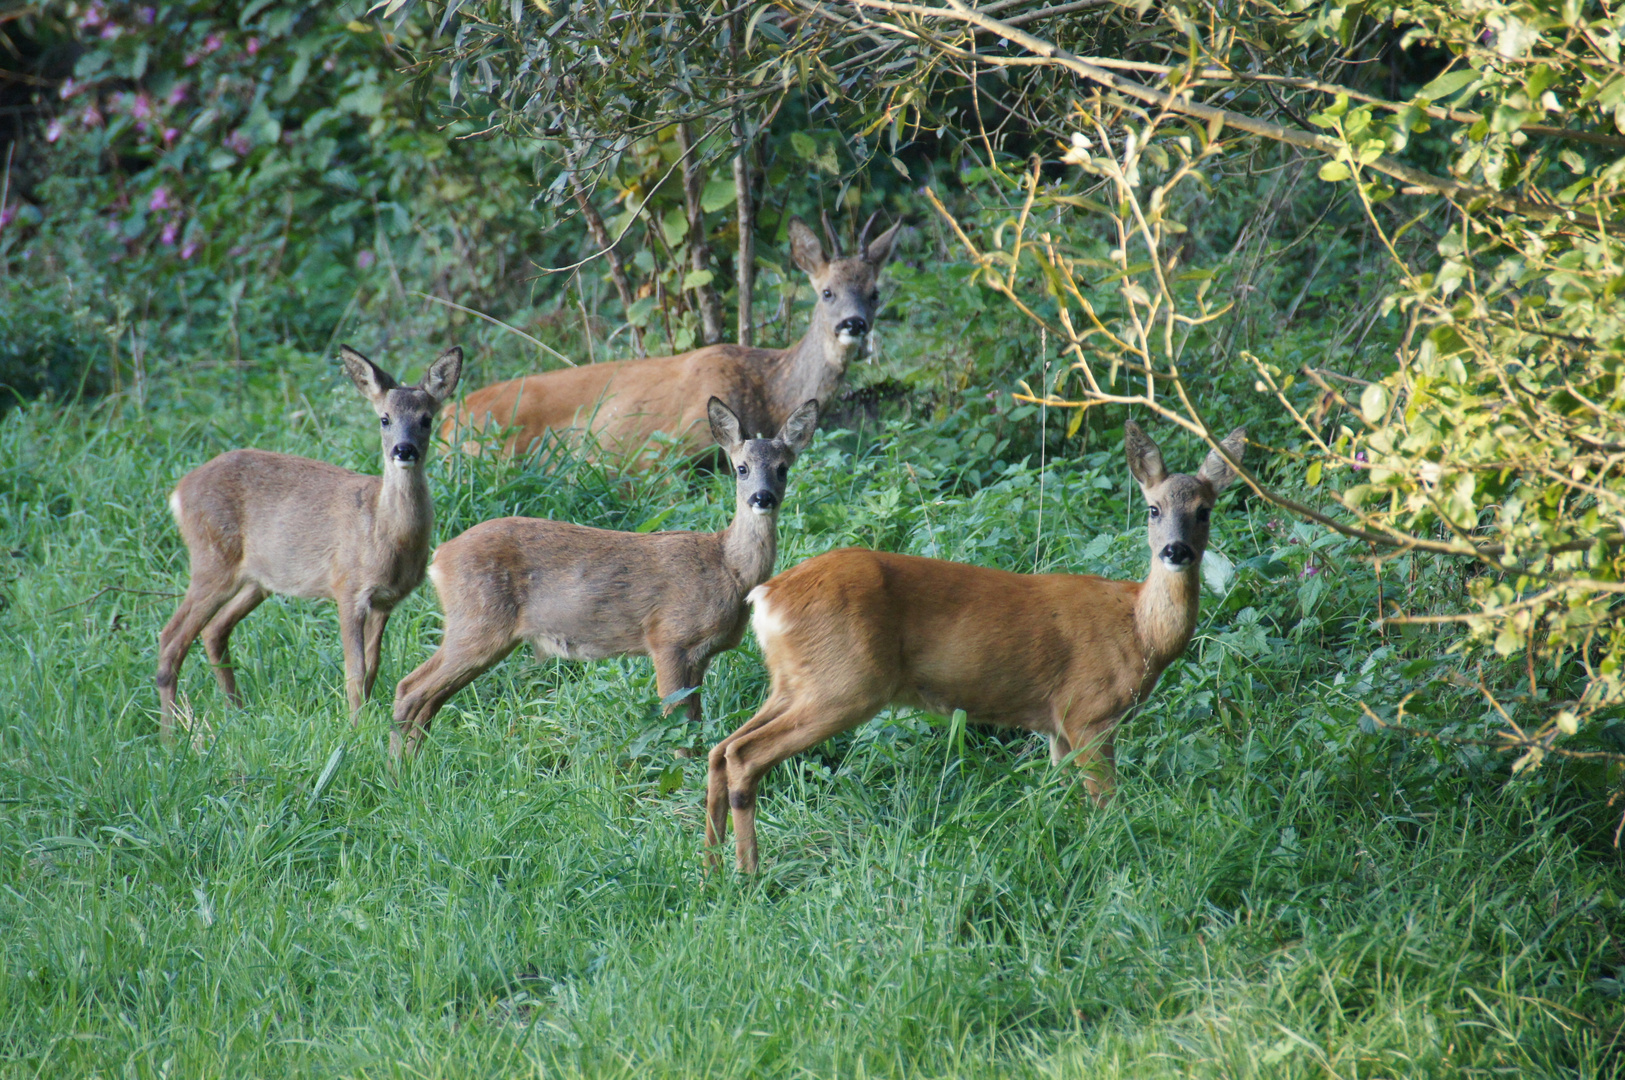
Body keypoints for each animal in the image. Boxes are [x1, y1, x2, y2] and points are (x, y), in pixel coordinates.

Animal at [156, 345, 464, 740]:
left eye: (426, 419)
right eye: (384, 418)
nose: (403, 449)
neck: (383, 533)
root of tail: (178, 493)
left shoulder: (386, 601)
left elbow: (373, 667)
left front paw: (366, 722)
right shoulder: (347, 586)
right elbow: (354, 670)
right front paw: (355, 729)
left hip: (258, 579)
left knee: (214, 630)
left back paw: (236, 712)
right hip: (212, 560)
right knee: (171, 638)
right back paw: (170, 737)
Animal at [388, 396, 819, 756]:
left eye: (783, 469)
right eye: (741, 468)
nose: (762, 497)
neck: (728, 568)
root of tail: (440, 558)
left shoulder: (700, 655)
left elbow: (694, 721)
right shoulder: (668, 638)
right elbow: (677, 723)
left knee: (426, 698)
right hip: (477, 621)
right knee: (411, 689)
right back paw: (400, 772)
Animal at [445, 217, 903, 464]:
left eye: (875, 292)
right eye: (827, 292)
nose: (854, 324)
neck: (769, 389)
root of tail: (450, 412)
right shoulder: (676, 443)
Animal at [698, 415, 1241, 870]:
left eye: (1204, 511)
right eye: (1153, 508)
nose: (1176, 550)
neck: (1138, 629)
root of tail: (766, 596)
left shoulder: (1056, 727)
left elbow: (1065, 803)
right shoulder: (1088, 712)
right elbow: (1107, 807)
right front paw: (1116, 857)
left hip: (794, 682)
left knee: (721, 748)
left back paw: (711, 870)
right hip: (845, 683)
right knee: (744, 755)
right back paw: (748, 872)